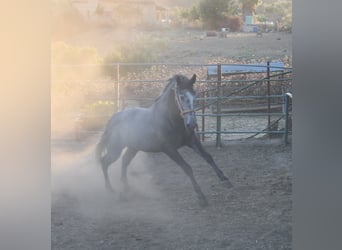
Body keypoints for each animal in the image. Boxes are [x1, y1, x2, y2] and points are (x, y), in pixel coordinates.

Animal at [95, 73, 232, 206]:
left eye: (195, 94)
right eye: (181, 96)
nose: (192, 124)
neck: (171, 120)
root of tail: (114, 118)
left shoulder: (192, 141)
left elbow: (208, 157)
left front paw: (225, 180)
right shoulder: (169, 149)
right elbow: (187, 168)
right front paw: (201, 197)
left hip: (133, 148)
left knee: (124, 161)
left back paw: (127, 188)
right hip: (115, 150)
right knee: (104, 162)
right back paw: (110, 189)